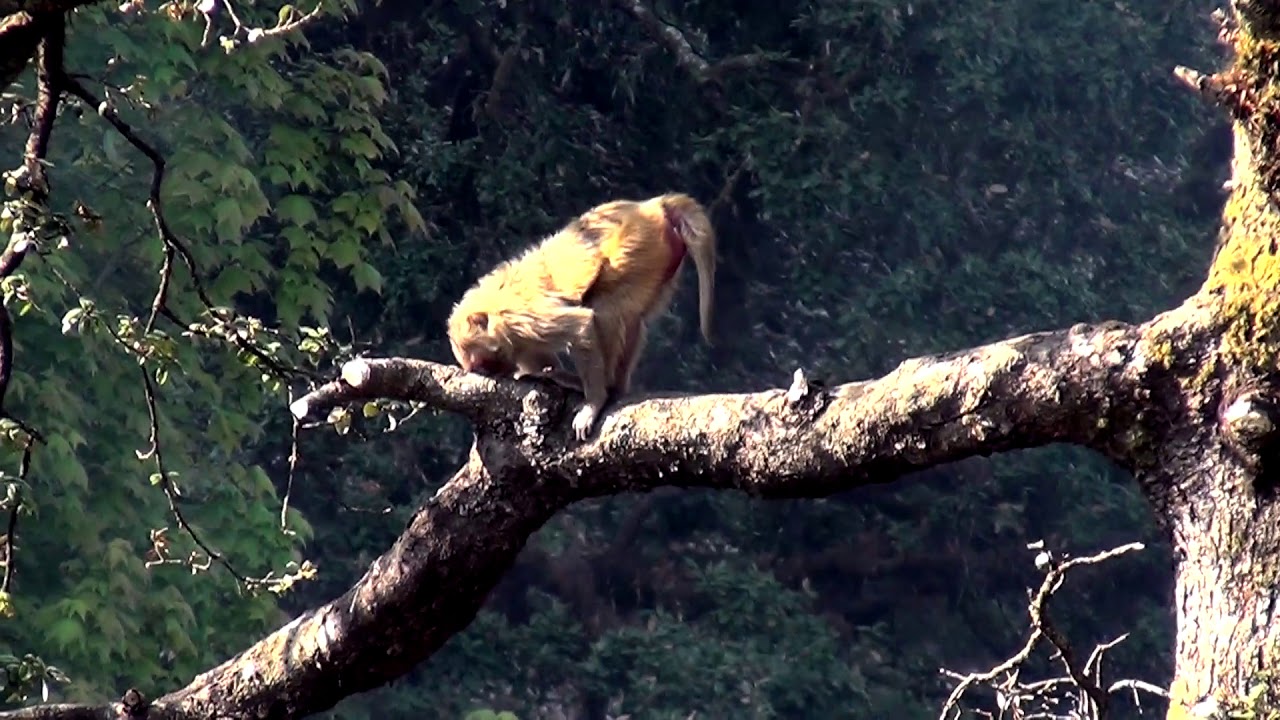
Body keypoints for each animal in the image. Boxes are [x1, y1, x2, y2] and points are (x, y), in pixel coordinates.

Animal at [447, 192, 716, 441]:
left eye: (486, 365)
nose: (498, 371)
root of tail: (649, 206)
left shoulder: (519, 319)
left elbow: (581, 325)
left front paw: (593, 401)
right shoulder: (518, 339)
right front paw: (548, 374)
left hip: (641, 243)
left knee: (605, 306)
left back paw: (607, 390)